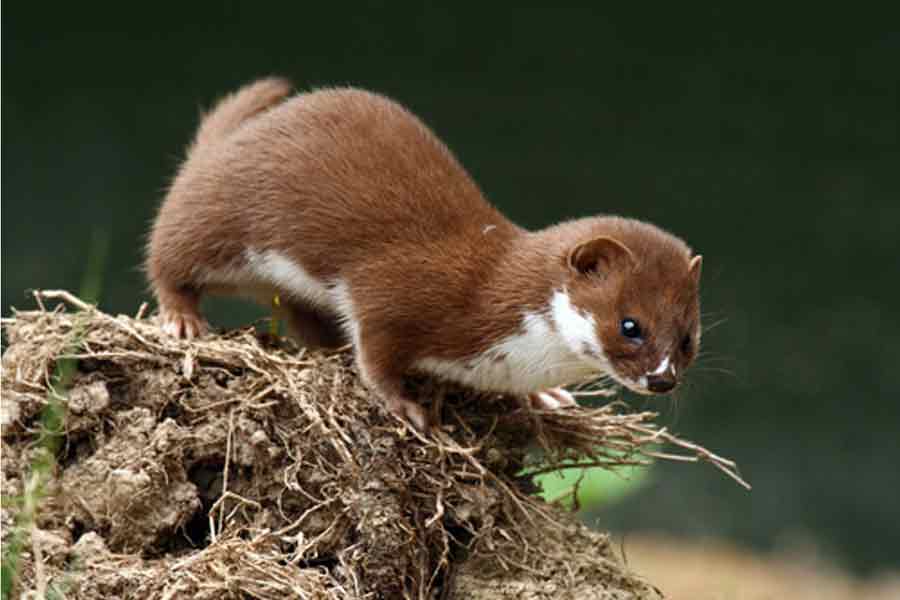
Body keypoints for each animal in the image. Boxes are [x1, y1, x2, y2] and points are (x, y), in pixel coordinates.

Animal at [146, 77, 704, 428]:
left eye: (688, 338)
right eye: (630, 325)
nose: (662, 380)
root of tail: (229, 141)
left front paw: (545, 395)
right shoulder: (394, 289)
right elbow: (374, 352)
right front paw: (403, 404)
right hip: (218, 217)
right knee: (167, 254)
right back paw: (183, 319)